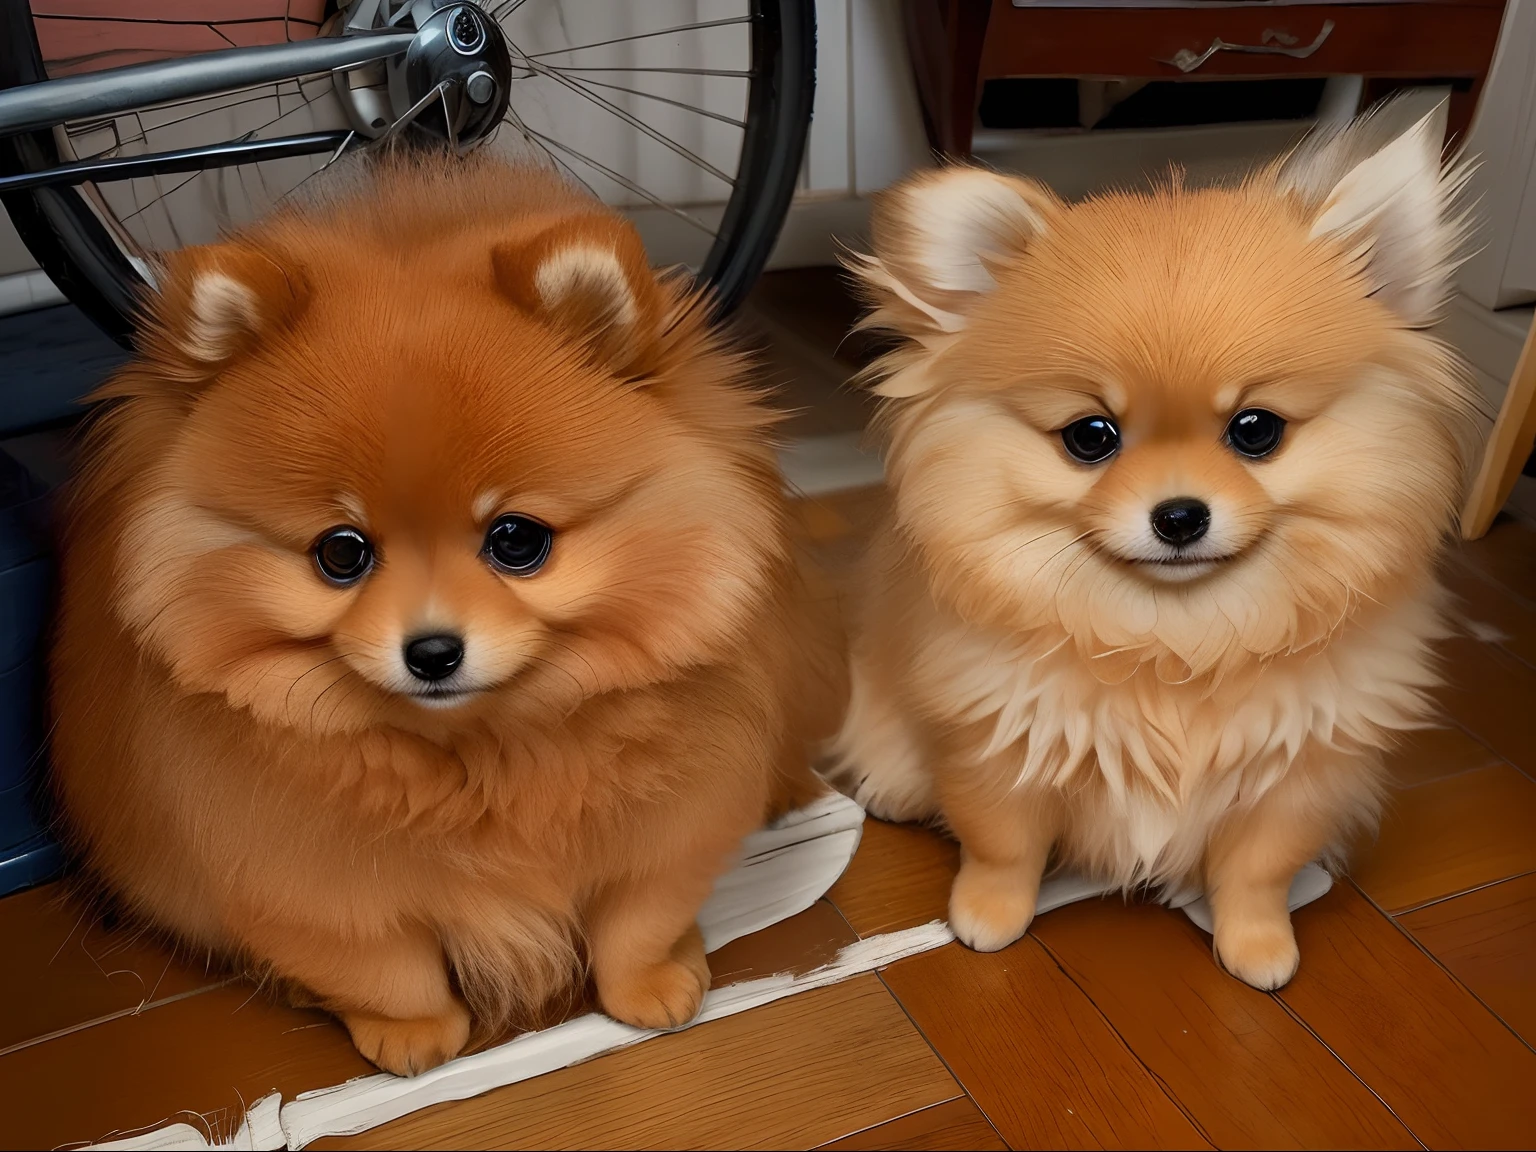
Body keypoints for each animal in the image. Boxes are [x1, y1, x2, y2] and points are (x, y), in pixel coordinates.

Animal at [51, 158, 841, 1081]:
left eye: (516, 540)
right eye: (342, 553)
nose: (431, 650)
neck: (484, 757)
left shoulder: (675, 819)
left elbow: (638, 915)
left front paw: (653, 983)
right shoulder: (301, 872)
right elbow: (381, 962)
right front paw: (414, 1032)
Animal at [835, 108, 1480, 995]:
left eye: (1256, 429)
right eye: (1091, 436)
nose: (1179, 515)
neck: (1175, 640)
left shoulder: (1298, 774)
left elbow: (1257, 872)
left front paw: (1258, 946)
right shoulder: (995, 745)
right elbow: (1002, 848)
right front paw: (987, 920)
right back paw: (895, 787)